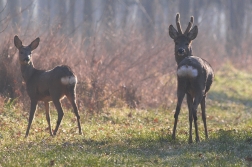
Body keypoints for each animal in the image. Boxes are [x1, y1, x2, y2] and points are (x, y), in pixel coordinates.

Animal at [168, 13, 214, 144]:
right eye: (176, 42)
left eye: (187, 42)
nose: (180, 50)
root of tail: (188, 66)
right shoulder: (204, 93)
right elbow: (203, 114)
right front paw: (206, 136)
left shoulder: (189, 93)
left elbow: (188, 115)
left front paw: (190, 137)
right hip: (200, 88)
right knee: (194, 110)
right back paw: (198, 138)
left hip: (180, 85)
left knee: (178, 109)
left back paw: (174, 136)